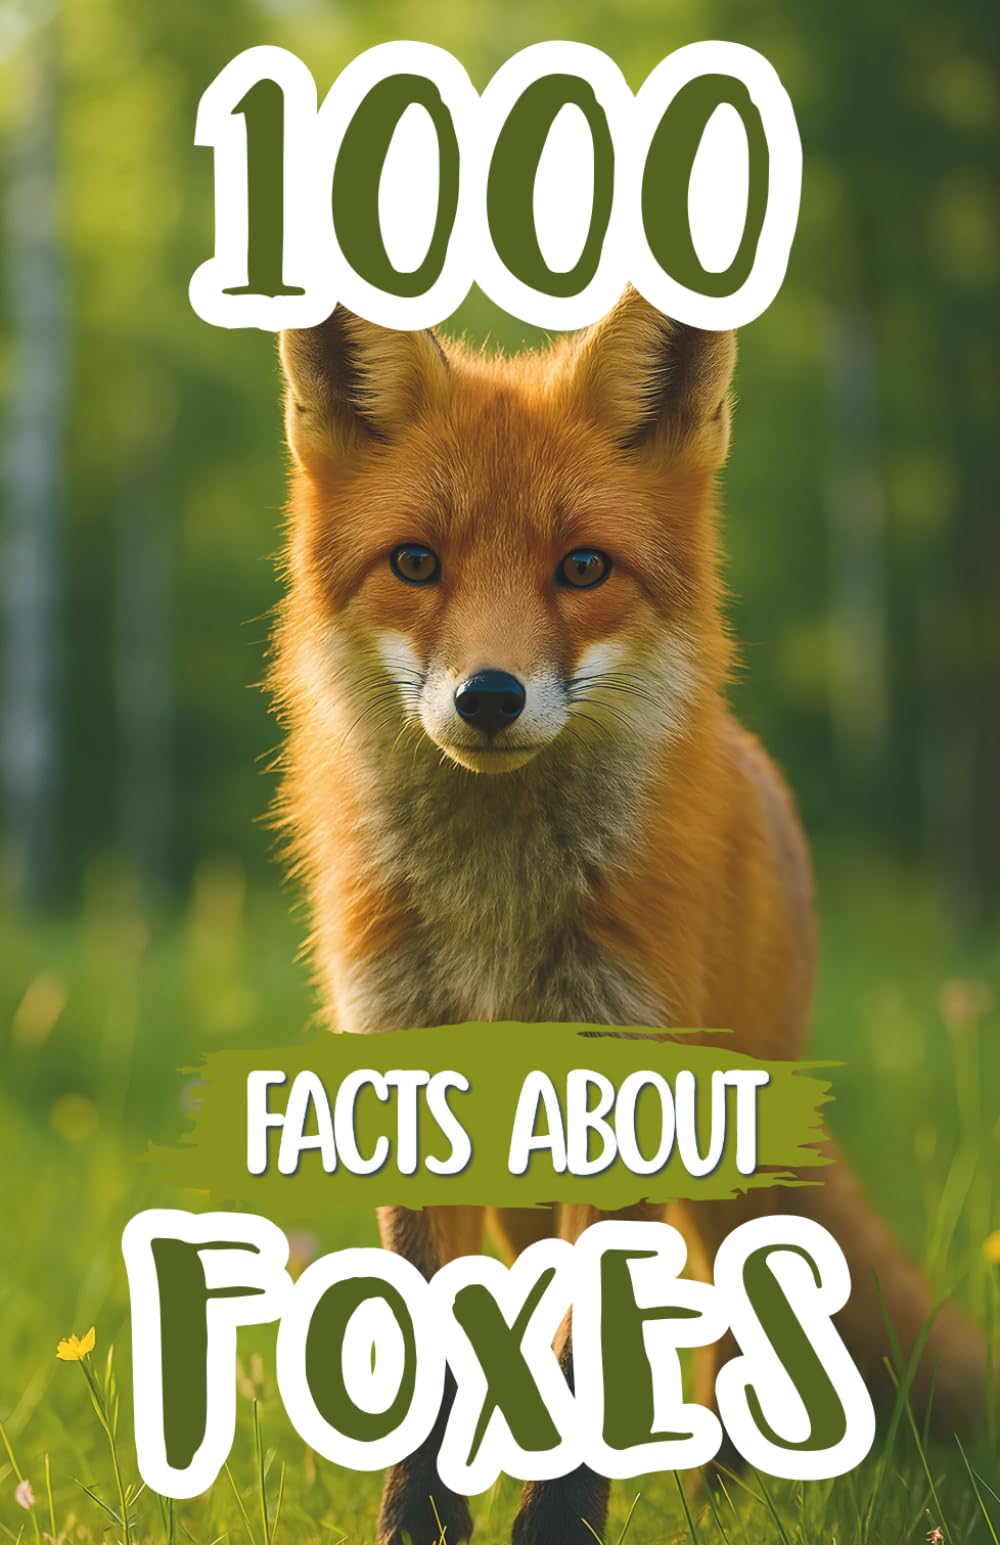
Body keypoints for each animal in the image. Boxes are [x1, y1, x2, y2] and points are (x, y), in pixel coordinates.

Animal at [272, 288, 986, 1545]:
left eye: (582, 566)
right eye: (415, 561)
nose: (489, 696)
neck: (496, 912)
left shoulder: (624, 1074)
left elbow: (585, 1349)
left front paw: (558, 1525)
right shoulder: (408, 1069)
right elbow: (438, 1339)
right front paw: (423, 1520)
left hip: (723, 1144)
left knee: (730, 1302)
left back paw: (724, 1496)